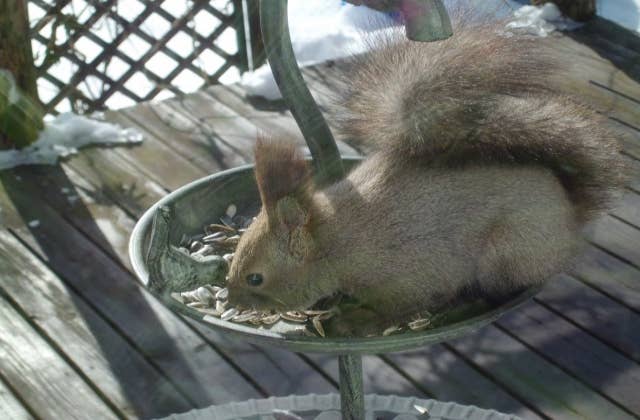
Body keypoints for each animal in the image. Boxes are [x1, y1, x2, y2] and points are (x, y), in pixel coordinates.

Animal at [228, 18, 628, 336]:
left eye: (255, 278)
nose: (230, 298)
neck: (335, 243)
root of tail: (570, 217)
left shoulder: (410, 273)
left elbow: (398, 306)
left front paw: (356, 320)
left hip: (506, 252)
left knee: (495, 293)